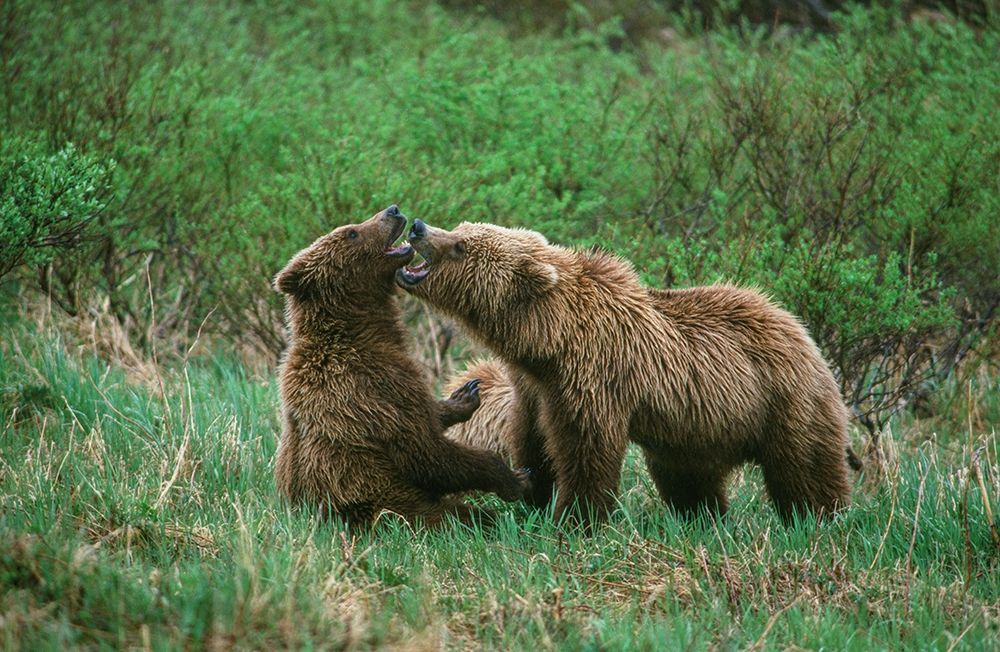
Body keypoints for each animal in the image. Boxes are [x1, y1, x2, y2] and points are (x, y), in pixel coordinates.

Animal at [272, 206, 530, 528]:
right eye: (352, 232)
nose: (392, 210)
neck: (360, 330)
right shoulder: (369, 389)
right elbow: (424, 453)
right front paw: (514, 479)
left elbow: (428, 414)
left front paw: (464, 396)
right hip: (395, 506)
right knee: (456, 514)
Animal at [398, 219, 855, 525]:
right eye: (460, 226)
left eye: (461, 244)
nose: (419, 227)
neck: (549, 340)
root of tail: (800, 328)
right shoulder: (533, 386)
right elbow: (532, 442)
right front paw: (531, 494)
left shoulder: (592, 375)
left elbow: (586, 449)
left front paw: (576, 518)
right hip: (698, 430)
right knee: (687, 479)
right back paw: (704, 519)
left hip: (785, 400)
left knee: (805, 467)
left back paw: (821, 518)